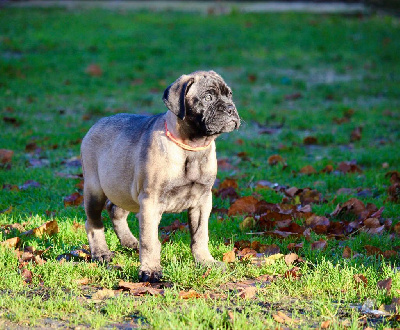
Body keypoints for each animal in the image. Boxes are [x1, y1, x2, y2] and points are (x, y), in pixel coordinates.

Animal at [79, 69, 239, 282]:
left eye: (229, 95)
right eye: (208, 97)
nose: (230, 108)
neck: (192, 147)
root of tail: (97, 123)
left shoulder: (203, 200)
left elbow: (200, 235)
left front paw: (205, 261)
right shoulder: (151, 201)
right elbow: (150, 241)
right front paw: (150, 270)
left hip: (124, 188)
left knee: (115, 209)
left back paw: (129, 241)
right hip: (95, 190)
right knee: (93, 223)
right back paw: (101, 253)